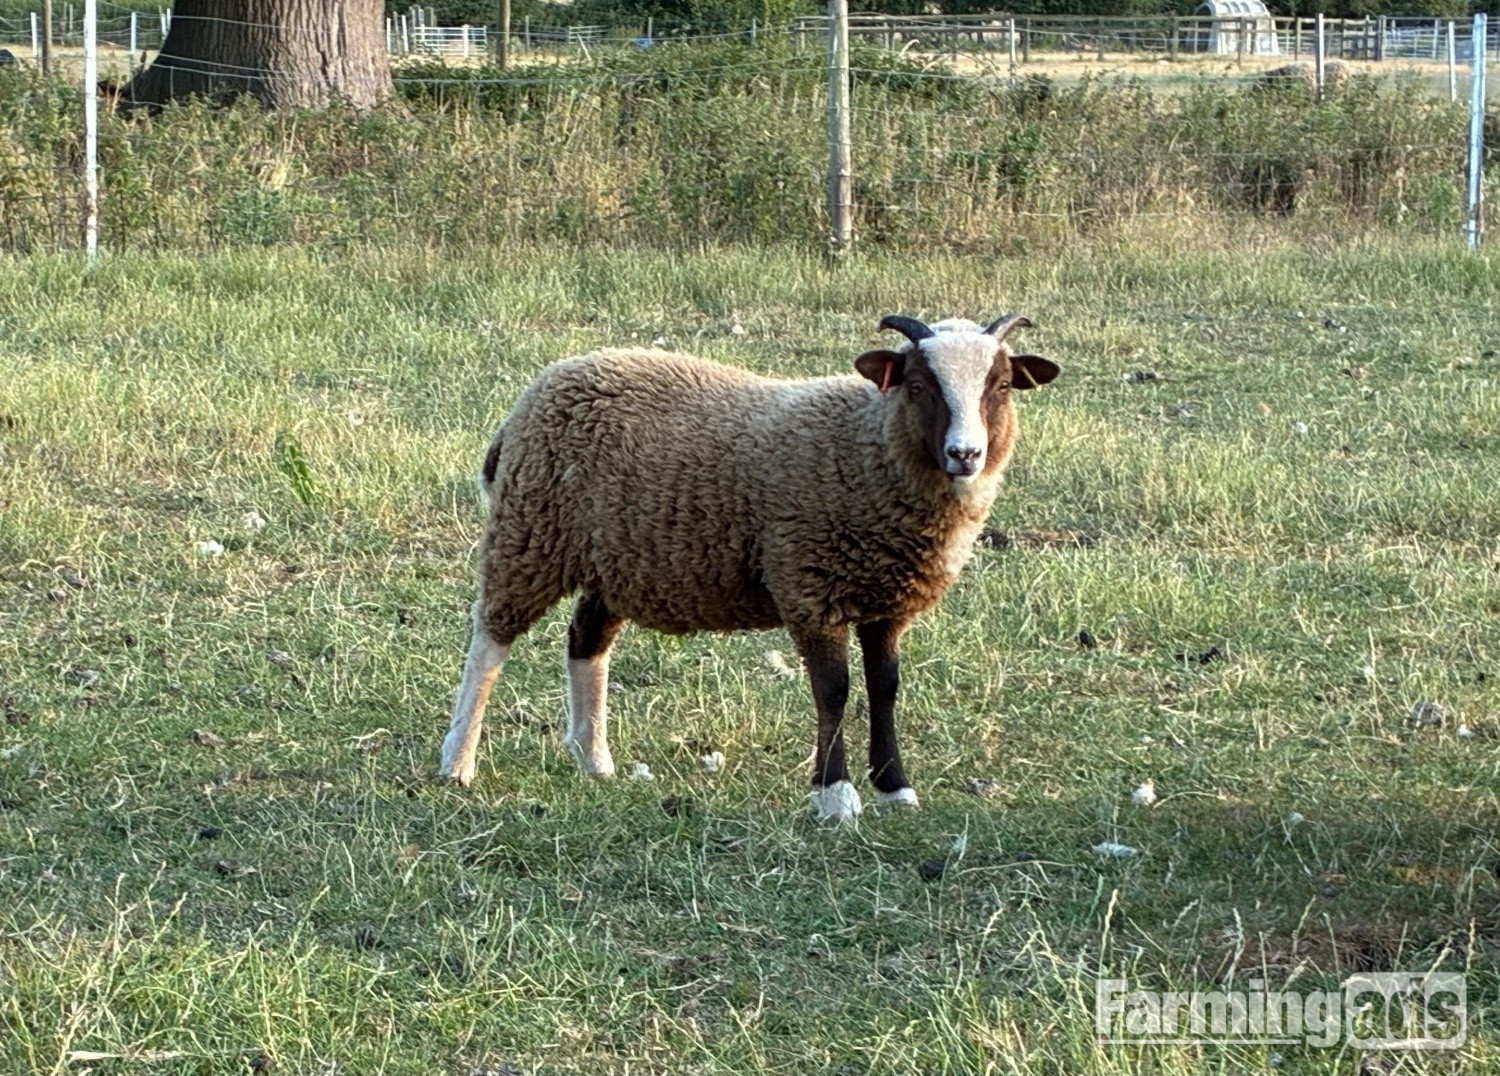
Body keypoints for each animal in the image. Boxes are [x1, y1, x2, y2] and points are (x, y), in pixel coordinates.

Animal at [440, 315, 1060, 822]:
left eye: (1000, 386)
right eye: (919, 385)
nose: (965, 455)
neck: (867, 445)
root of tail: (541, 390)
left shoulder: (888, 602)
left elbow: (885, 688)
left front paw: (895, 788)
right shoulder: (810, 586)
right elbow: (834, 692)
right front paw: (835, 795)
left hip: (613, 560)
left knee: (585, 641)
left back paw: (594, 759)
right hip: (529, 533)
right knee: (490, 642)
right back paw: (457, 762)